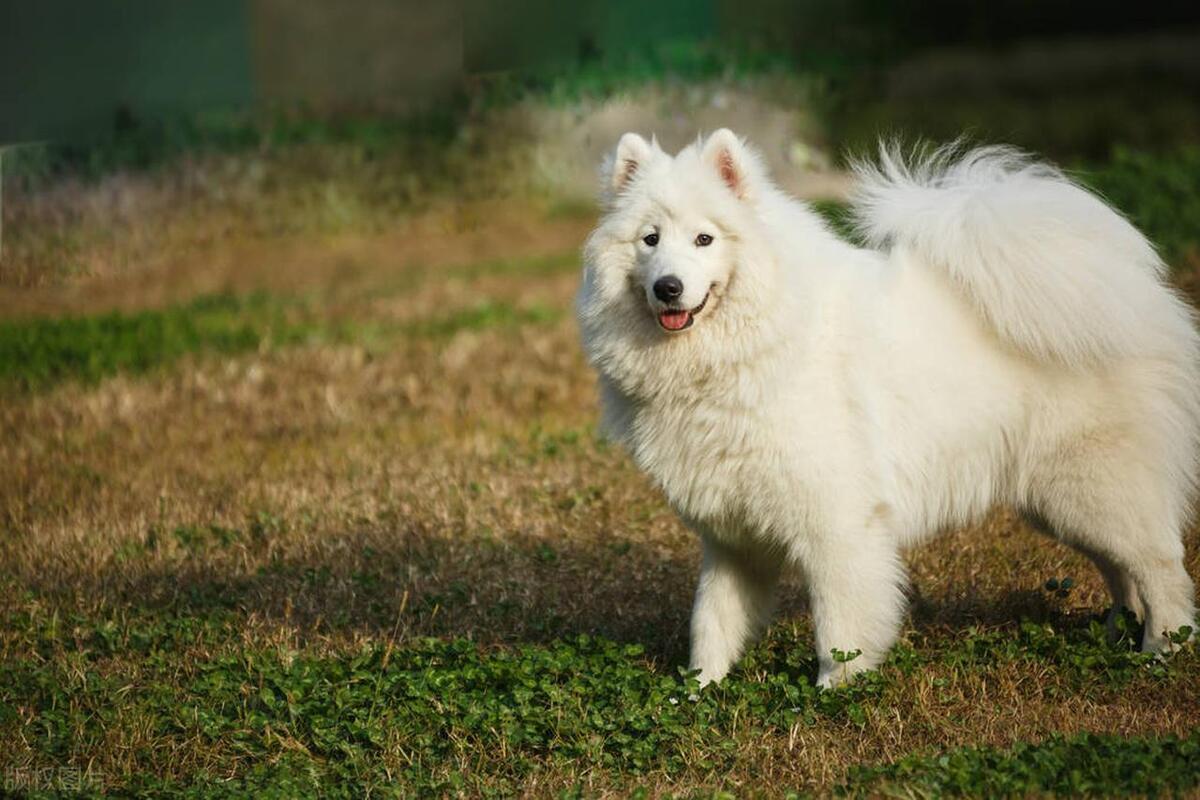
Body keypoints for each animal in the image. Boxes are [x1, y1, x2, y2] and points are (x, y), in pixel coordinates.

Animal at [576, 131, 1195, 690]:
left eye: (705, 238)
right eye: (650, 240)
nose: (668, 287)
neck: (757, 342)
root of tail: (1135, 292)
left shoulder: (836, 521)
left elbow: (840, 625)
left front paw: (833, 695)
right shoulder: (732, 538)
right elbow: (712, 621)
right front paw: (697, 692)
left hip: (1094, 485)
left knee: (1161, 567)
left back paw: (1160, 652)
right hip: (1061, 502)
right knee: (1123, 570)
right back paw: (1117, 635)